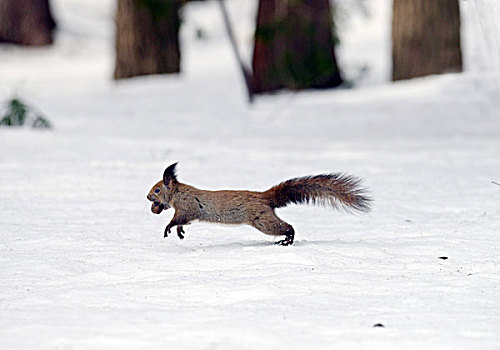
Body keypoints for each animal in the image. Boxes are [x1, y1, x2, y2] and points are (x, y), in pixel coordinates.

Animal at [146, 162, 370, 246]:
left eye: (157, 190)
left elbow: (178, 218)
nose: (148, 198)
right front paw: (180, 232)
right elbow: (183, 222)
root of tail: (265, 197)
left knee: (287, 227)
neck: (177, 193)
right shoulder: (187, 212)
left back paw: (287, 239)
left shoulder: (187, 206)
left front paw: (169, 228)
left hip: (262, 220)